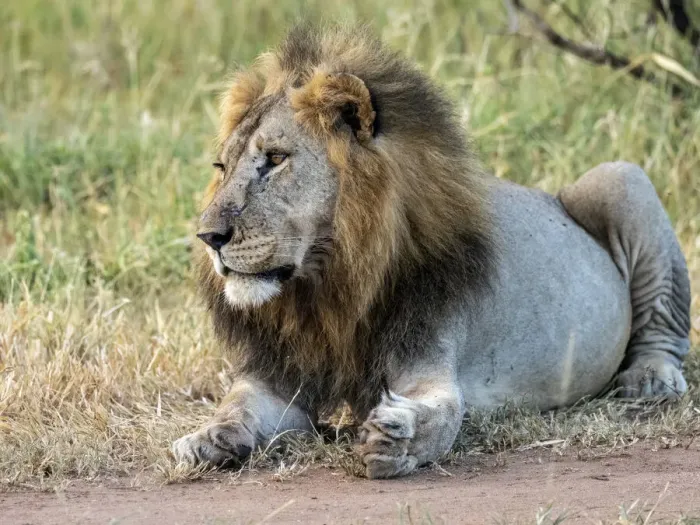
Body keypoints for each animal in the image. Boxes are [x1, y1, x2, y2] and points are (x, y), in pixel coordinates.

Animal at [172, 24, 691, 479]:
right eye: (222, 167)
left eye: (276, 159)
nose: (208, 236)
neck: (331, 289)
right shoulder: (278, 377)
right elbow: (238, 404)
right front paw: (206, 439)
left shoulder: (430, 359)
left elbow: (444, 413)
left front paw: (395, 439)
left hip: (621, 177)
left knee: (665, 325)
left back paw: (651, 378)